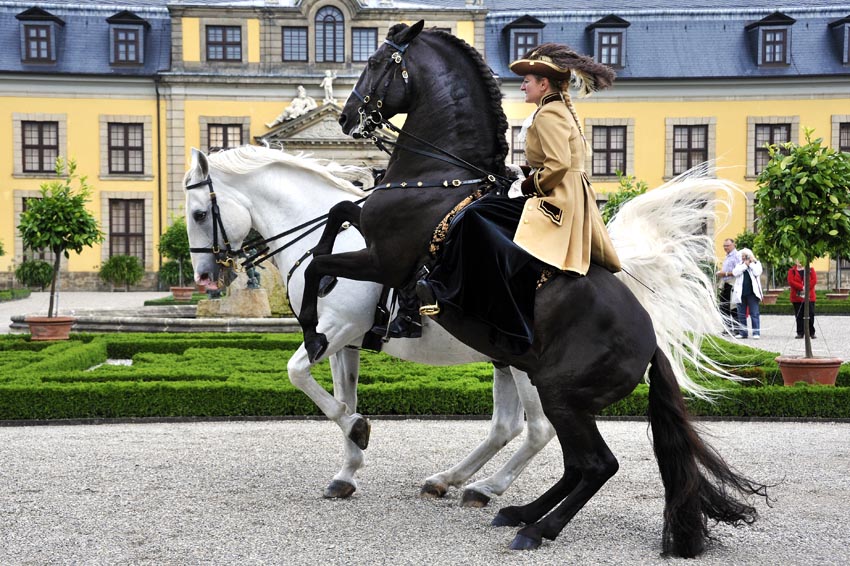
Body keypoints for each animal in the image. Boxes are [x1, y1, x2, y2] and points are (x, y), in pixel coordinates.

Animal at [183, 145, 556, 506]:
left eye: (199, 214)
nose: (203, 277)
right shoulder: (342, 344)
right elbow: (344, 397)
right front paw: (347, 472)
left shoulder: (337, 328)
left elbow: (298, 373)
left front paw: (357, 429)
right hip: (502, 360)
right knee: (505, 427)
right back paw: (449, 480)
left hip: (523, 363)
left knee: (539, 429)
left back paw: (487, 487)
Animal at [296, 21, 768, 556]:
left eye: (375, 62)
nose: (347, 117)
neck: (439, 176)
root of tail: (650, 342)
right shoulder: (373, 240)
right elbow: (338, 212)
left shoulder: (383, 259)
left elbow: (319, 262)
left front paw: (313, 324)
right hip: (555, 391)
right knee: (574, 464)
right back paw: (516, 510)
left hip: (561, 394)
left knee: (594, 464)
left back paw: (534, 526)